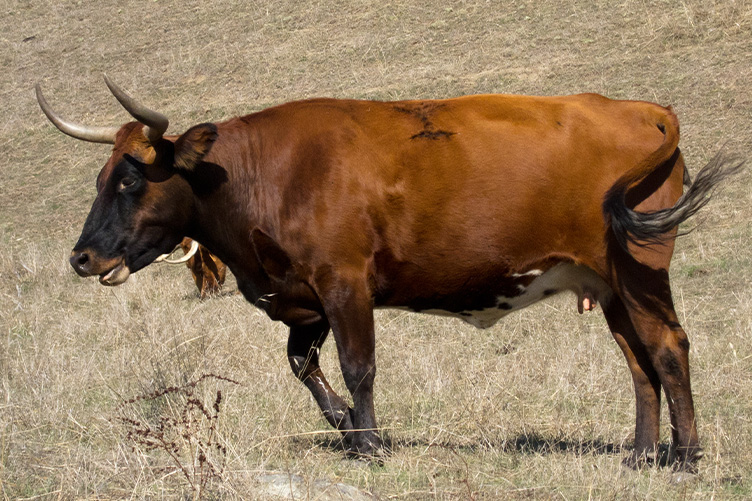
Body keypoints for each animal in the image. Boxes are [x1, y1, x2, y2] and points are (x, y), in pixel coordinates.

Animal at [36, 76, 742, 469]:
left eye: (130, 180)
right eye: (101, 176)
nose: (81, 257)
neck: (260, 176)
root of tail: (639, 108)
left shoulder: (345, 283)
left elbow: (359, 366)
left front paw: (371, 443)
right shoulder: (305, 297)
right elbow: (303, 366)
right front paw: (347, 427)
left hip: (640, 271)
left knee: (669, 348)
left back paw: (685, 457)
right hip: (606, 286)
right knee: (639, 363)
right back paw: (641, 454)